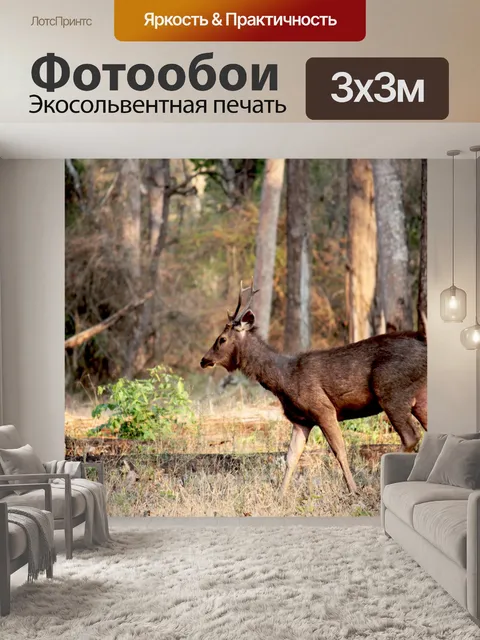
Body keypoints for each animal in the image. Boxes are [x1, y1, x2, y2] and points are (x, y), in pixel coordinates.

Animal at [200, 281, 427, 496]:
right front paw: (280, 495)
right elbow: (291, 457)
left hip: (392, 391)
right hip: (419, 396)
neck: (282, 378)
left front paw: (353, 490)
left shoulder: (323, 408)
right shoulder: (301, 420)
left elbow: (339, 450)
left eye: (222, 339)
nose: (204, 360)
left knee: (410, 436)